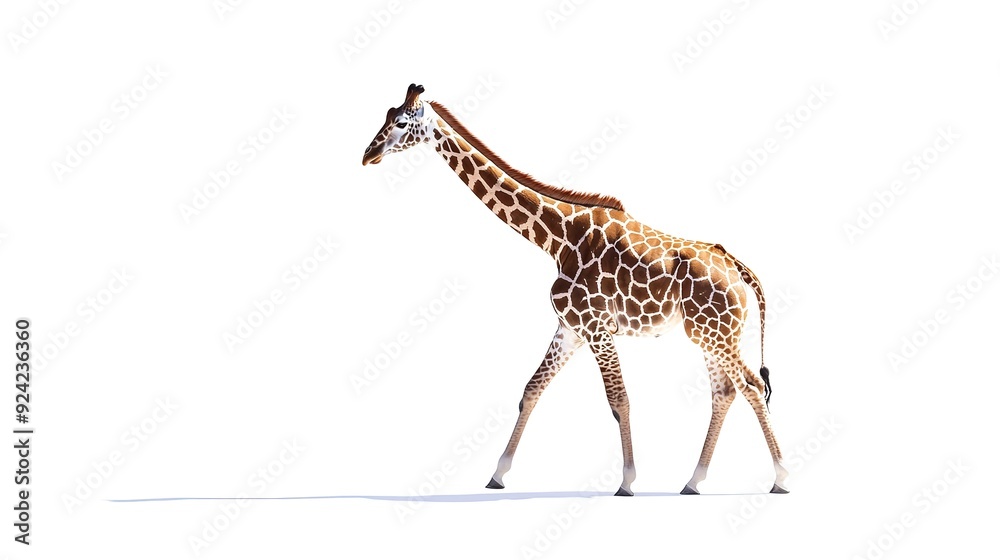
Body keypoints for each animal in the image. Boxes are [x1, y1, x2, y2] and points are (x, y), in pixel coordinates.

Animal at [362, 84, 789, 496]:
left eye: (401, 122)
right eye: (387, 115)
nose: (368, 155)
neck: (559, 238)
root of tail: (736, 267)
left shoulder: (597, 328)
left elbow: (619, 400)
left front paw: (627, 481)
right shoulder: (570, 328)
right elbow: (531, 390)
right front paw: (498, 474)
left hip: (715, 333)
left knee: (750, 386)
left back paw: (780, 478)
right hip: (708, 333)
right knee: (725, 392)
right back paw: (693, 482)